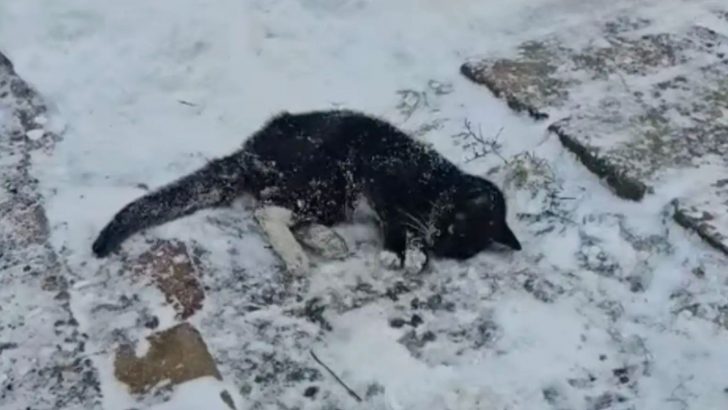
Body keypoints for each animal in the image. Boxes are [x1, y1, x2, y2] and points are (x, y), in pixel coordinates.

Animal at [91, 110, 520, 274]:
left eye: (460, 245)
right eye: (454, 225)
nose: (438, 240)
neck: (436, 184)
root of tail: (251, 149)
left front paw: (416, 253)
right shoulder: (384, 177)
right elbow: (397, 220)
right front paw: (400, 251)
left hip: (325, 194)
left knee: (277, 207)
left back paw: (326, 242)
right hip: (329, 179)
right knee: (266, 209)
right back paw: (298, 256)